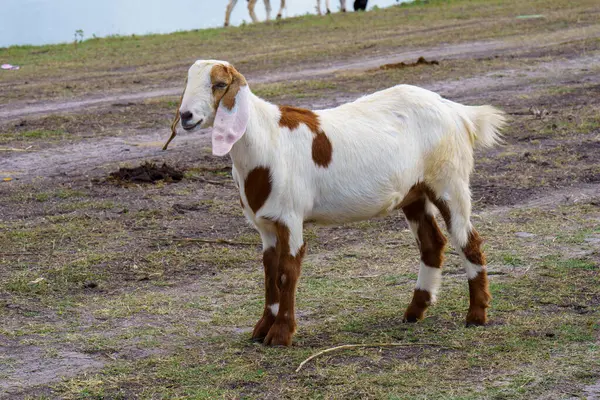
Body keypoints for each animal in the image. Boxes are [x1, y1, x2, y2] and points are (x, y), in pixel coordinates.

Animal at [177, 60, 506, 346]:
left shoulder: (289, 217)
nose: (186, 116)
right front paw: (261, 330)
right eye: (188, 83)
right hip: (414, 192)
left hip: (449, 182)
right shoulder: (266, 225)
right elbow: (270, 273)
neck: (268, 140)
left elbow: (287, 271)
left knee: (468, 240)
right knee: (432, 243)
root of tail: (456, 111)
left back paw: (476, 315)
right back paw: (415, 311)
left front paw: (281, 335)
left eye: (219, 84)